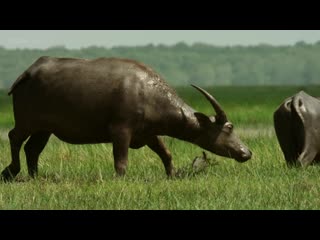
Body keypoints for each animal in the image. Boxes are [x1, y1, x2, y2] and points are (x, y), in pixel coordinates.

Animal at [0, 56, 252, 180]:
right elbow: (120, 160)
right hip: (27, 121)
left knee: (33, 148)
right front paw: (120, 179)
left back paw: (35, 176)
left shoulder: (149, 134)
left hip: (45, 128)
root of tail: (27, 73)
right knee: (14, 137)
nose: (246, 152)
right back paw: (10, 171)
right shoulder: (121, 131)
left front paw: (172, 174)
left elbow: (166, 152)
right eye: (228, 128)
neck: (148, 94)